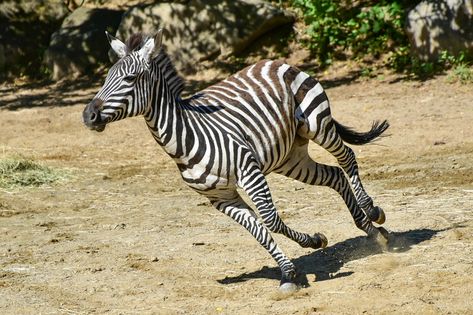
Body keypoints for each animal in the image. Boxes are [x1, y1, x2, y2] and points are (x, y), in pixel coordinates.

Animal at [83, 30, 390, 294]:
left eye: (130, 78)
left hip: (317, 123)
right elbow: (258, 232)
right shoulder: (221, 198)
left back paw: (372, 211)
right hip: (289, 156)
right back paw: (373, 232)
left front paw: (307, 249)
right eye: (106, 78)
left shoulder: (249, 173)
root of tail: (273, 60)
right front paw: (291, 271)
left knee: (346, 157)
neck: (186, 137)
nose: (88, 115)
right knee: (334, 175)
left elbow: (270, 220)